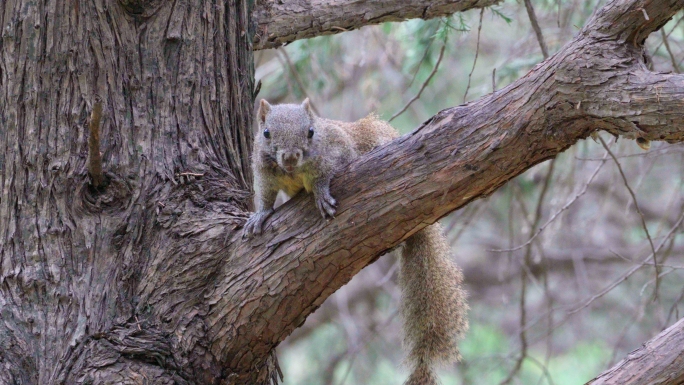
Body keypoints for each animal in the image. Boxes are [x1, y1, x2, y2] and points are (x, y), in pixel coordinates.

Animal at [243, 97, 468, 382]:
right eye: (266, 133)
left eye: (311, 132)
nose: (291, 156)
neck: (292, 172)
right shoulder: (264, 172)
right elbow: (265, 196)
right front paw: (260, 215)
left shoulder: (338, 152)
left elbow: (326, 173)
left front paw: (320, 193)